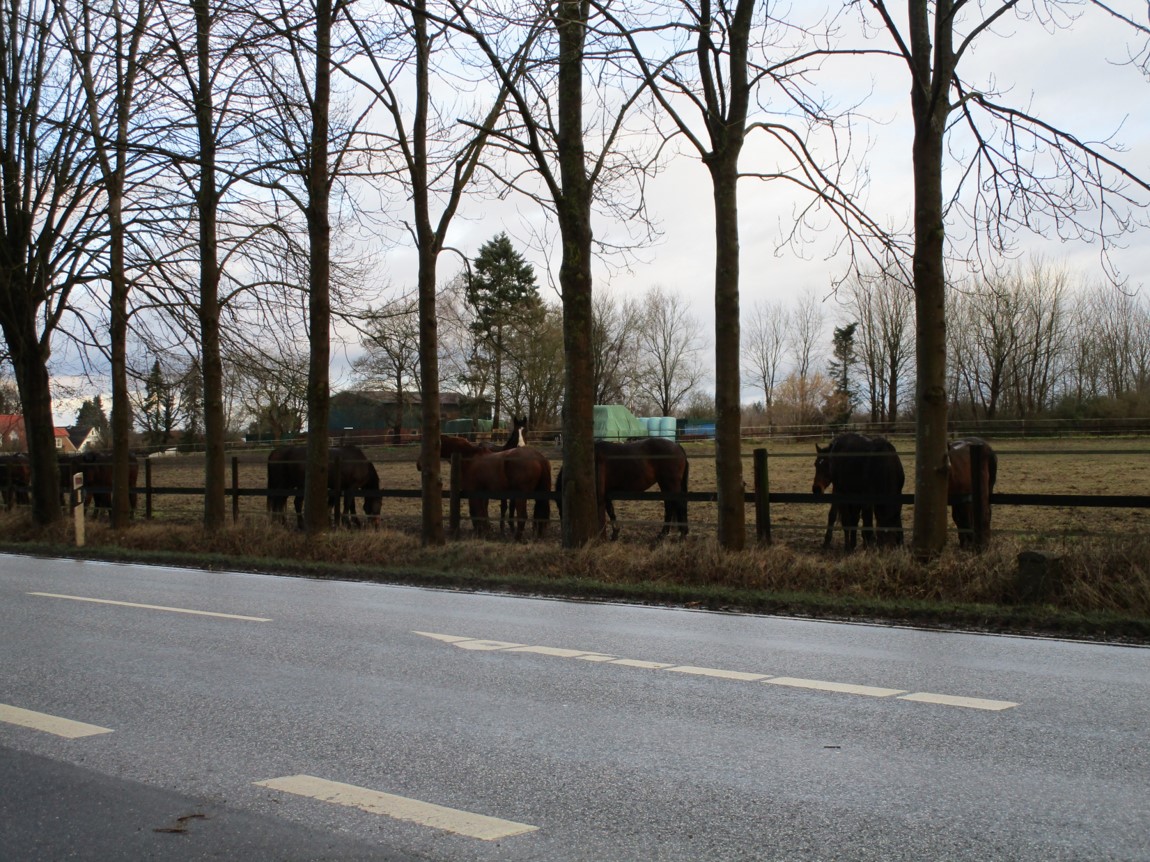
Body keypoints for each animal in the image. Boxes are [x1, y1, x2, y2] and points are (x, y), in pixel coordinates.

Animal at [420, 433, 550, 540]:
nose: (419, 465)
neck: (469, 458)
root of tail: (538, 456)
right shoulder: (481, 494)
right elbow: (482, 513)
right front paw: (486, 531)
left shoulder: (473, 493)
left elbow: (477, 512)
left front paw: (481, 533)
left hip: (520, 497)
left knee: (522, 516)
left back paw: (517, 538)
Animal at [556, 438, 689, 540]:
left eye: (562, 508)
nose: (564, 534)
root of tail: (678, 446)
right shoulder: (606, 493)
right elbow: (611, 511)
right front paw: (615, 533)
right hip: (665, 485)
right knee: (670, 506)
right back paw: (665, 533)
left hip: (670, 484)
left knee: (679, 504)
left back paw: (681, 534)